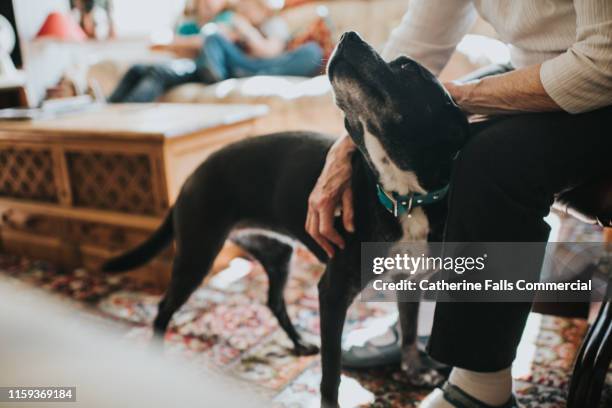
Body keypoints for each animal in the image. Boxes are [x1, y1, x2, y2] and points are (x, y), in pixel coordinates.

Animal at [105, 31, 468, 404]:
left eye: (408, 67)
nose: (348, 35)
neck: (405, 196)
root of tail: (193, 173)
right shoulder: (333, 292)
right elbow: (330, 372)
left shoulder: (411, 279)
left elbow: (408, 330)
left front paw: (415, 368)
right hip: (197, 254)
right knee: (163, 307)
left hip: (277, 254)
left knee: (273, 300)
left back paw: (298, 341)